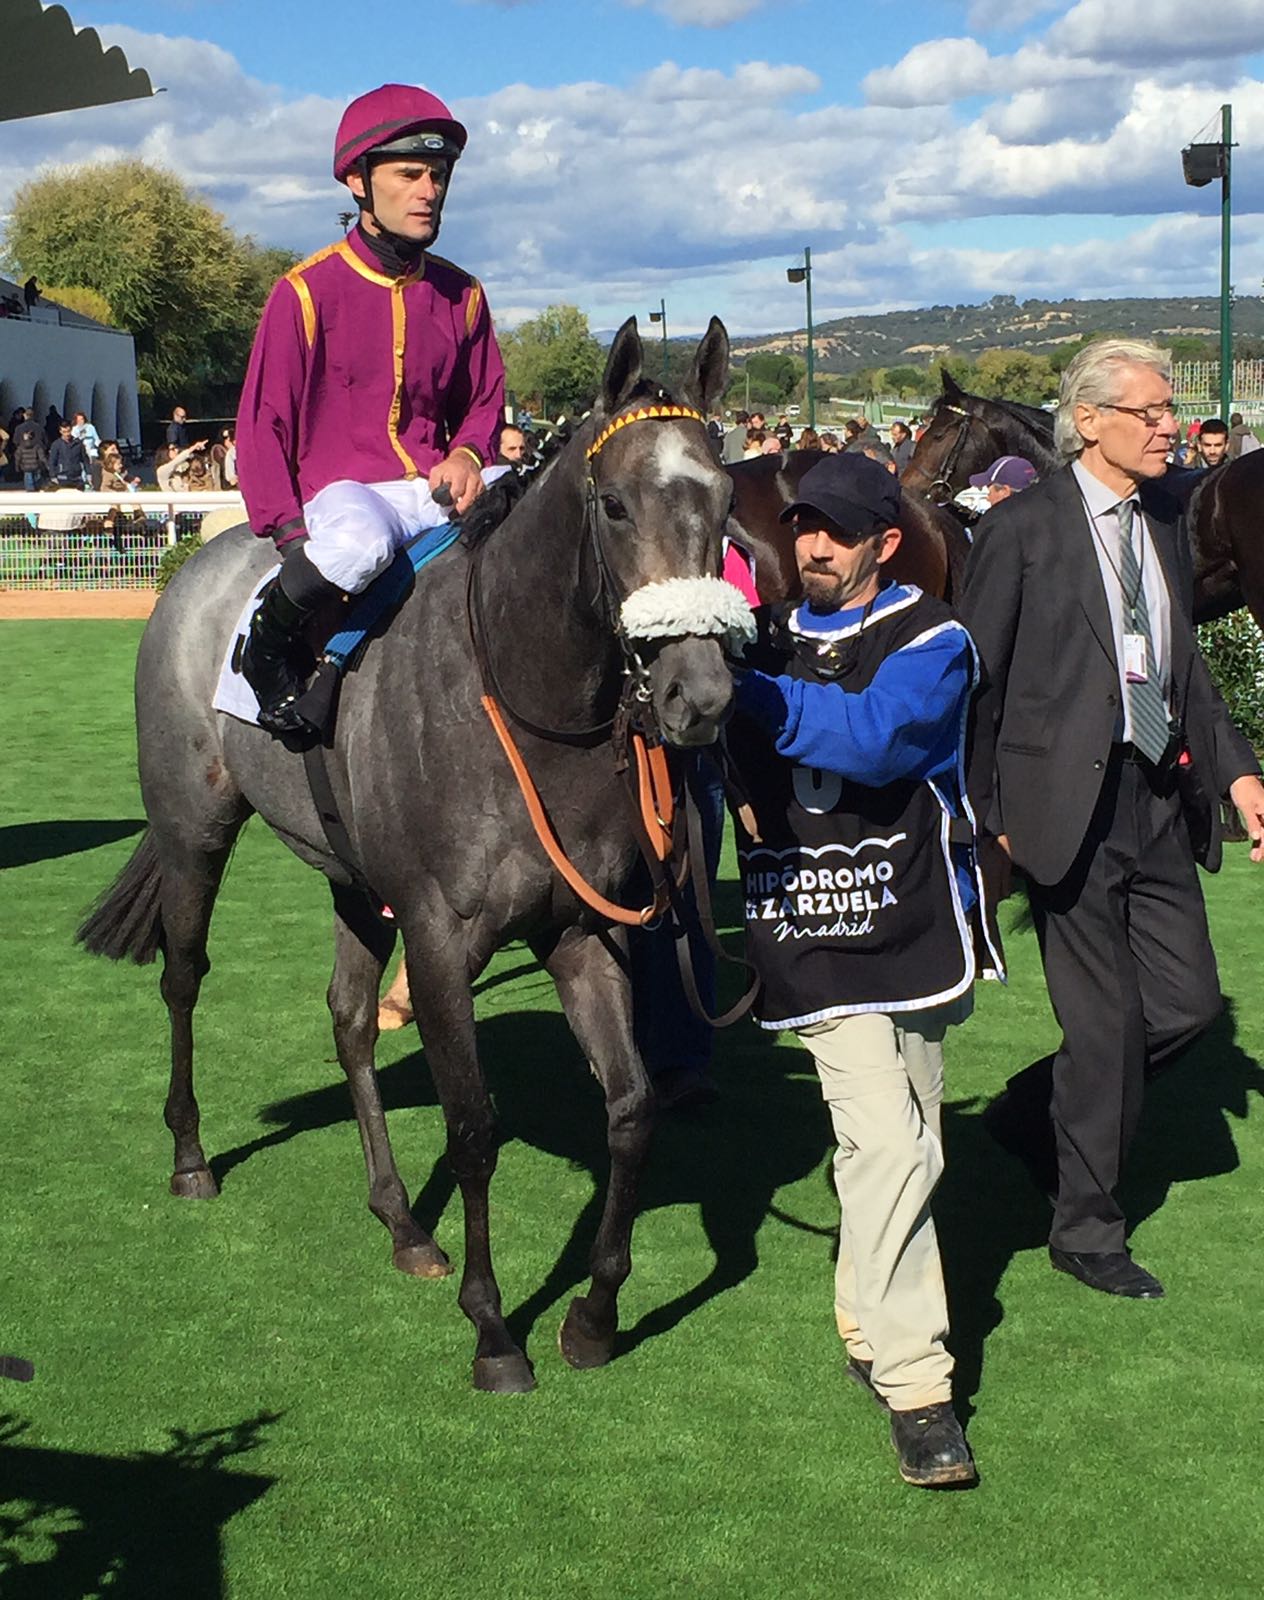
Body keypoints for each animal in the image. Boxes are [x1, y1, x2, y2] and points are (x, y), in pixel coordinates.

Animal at [78, 317, 745, 1395]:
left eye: (725, 502)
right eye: (613, 503)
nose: (700, 695)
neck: (522, 701)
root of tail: (207, 556)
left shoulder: (583, 932)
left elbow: (633, 1108)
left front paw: (594, 1314)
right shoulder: (438, 940)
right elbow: (472, 1126)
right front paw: (495, 1328)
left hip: (353, 878)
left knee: (349, 1020)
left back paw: (399, 1219)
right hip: (193, 832)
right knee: (183, 977)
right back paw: (190, 1156)